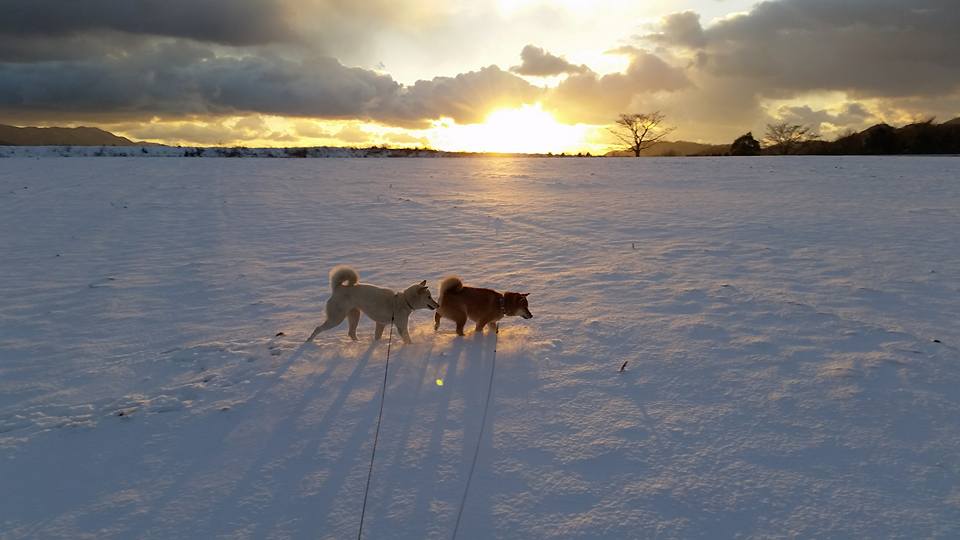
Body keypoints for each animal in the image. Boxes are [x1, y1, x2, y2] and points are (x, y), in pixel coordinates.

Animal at [304, 266, 438, 346]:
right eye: (429, 297)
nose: (438, 305)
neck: (403, 300)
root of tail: (338, 287)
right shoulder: (401, 326)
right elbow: (408, 339)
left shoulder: (381, 324)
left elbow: (377, 336)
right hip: (336, 319)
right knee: (318, 328)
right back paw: (308, 341)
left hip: (354, 315)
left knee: (351, 332)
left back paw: (358, 344)